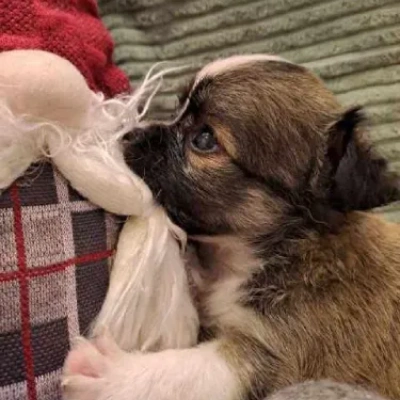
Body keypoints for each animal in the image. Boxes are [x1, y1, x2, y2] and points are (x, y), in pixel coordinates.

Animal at [62, 55, 400, 400]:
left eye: (204, 139)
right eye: (177, 111)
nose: (128, 134)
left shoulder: (284, 357)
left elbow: (197, 370)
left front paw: (109, 374)